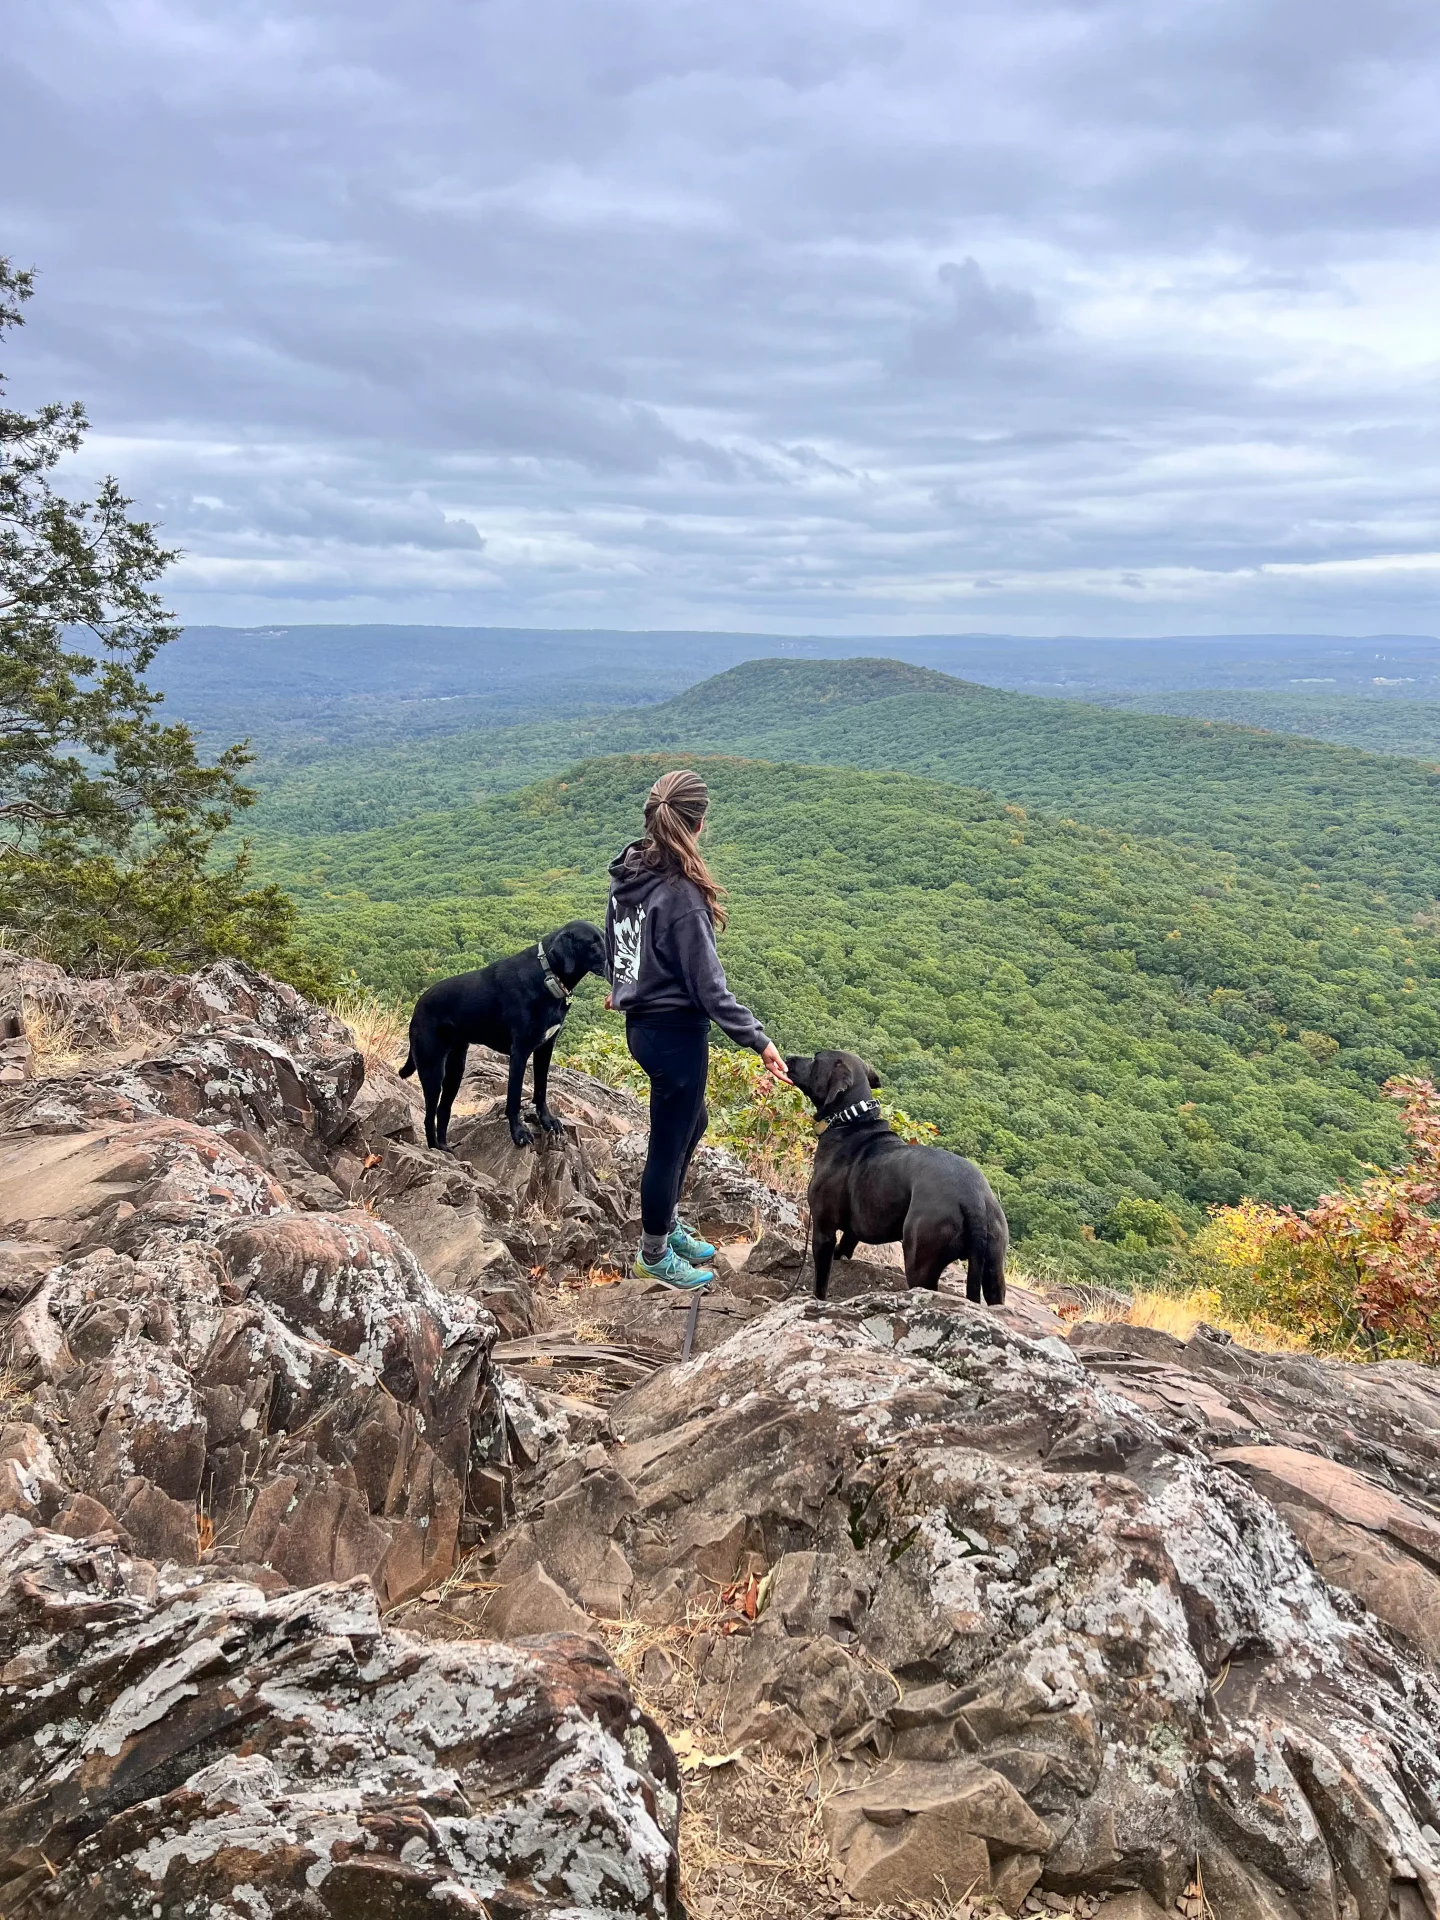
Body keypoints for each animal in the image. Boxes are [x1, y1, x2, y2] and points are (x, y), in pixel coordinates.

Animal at [401, 921, 610, 1144]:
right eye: (592, 943)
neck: (547, 976)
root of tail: (418, 1005)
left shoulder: (545, 1048)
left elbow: (541, 1089)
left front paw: (547, 1120)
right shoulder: (520, 1051)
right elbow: (514, 1096)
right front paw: (518, 1132)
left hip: (456, 1069)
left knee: (443, 1110)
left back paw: (444, 1147)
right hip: (432, 1069)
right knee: (429, 1116)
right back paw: (434, 1148)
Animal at [783, 1052, 1006, 1305]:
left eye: (816, 1058)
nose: (788, 1058)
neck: (851, 1119)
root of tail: (973, 1197)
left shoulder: (823, 1228)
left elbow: (821, 1279)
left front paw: (816, 1299)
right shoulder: (854, 1227)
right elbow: (847, 1243)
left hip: (920, 1260)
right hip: (993, 1269)